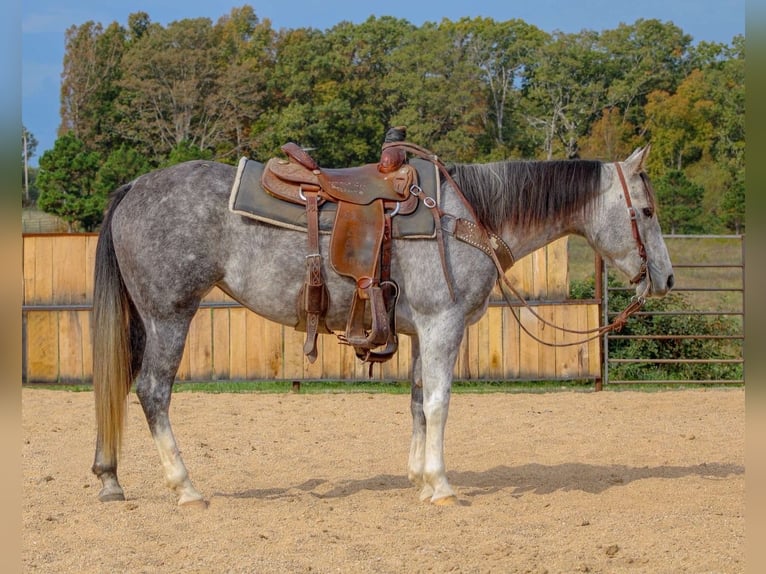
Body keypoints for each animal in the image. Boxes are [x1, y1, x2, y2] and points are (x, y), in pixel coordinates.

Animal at [91, 145, 674, 506]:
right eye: (646, 211)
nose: (666, 278)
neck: (467, 216)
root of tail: (135, 186)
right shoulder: (443, 326)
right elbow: (438, 402)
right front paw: (441, 485)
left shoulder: (421, 332)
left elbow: (416, 400)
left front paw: (419, 478)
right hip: (170, 316)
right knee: (153, 391)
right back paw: (185, 488)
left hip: (143, 320)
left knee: (116, 385)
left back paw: (109, 479)